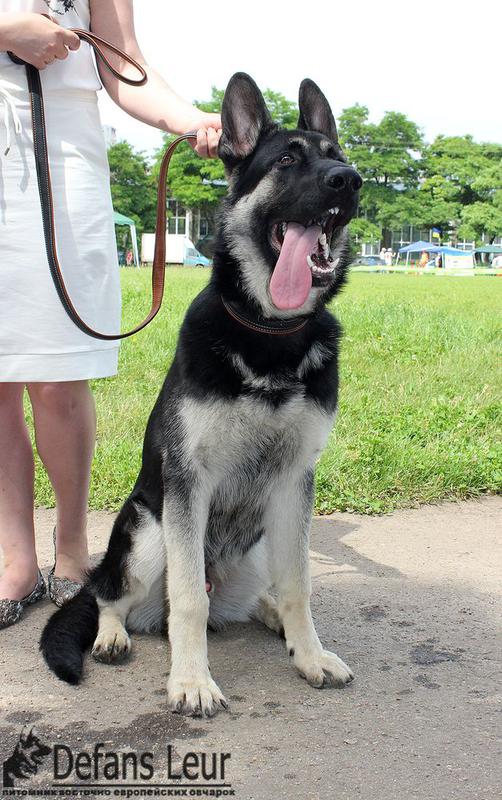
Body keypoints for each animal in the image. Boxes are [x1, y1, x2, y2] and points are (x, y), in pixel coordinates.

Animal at [39, 72, 360, 716]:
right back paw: (112, 635)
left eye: (336, 155)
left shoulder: (295, 485)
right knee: (111, 594)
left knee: (260, 594)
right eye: (287, 160)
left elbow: (299, 585)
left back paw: (273, 620)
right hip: (148, 530)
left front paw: (310, 653)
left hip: (259, 543)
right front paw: (190, 680)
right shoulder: (188, 484)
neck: (269, 335)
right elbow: (188, 599)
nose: (351, 179)